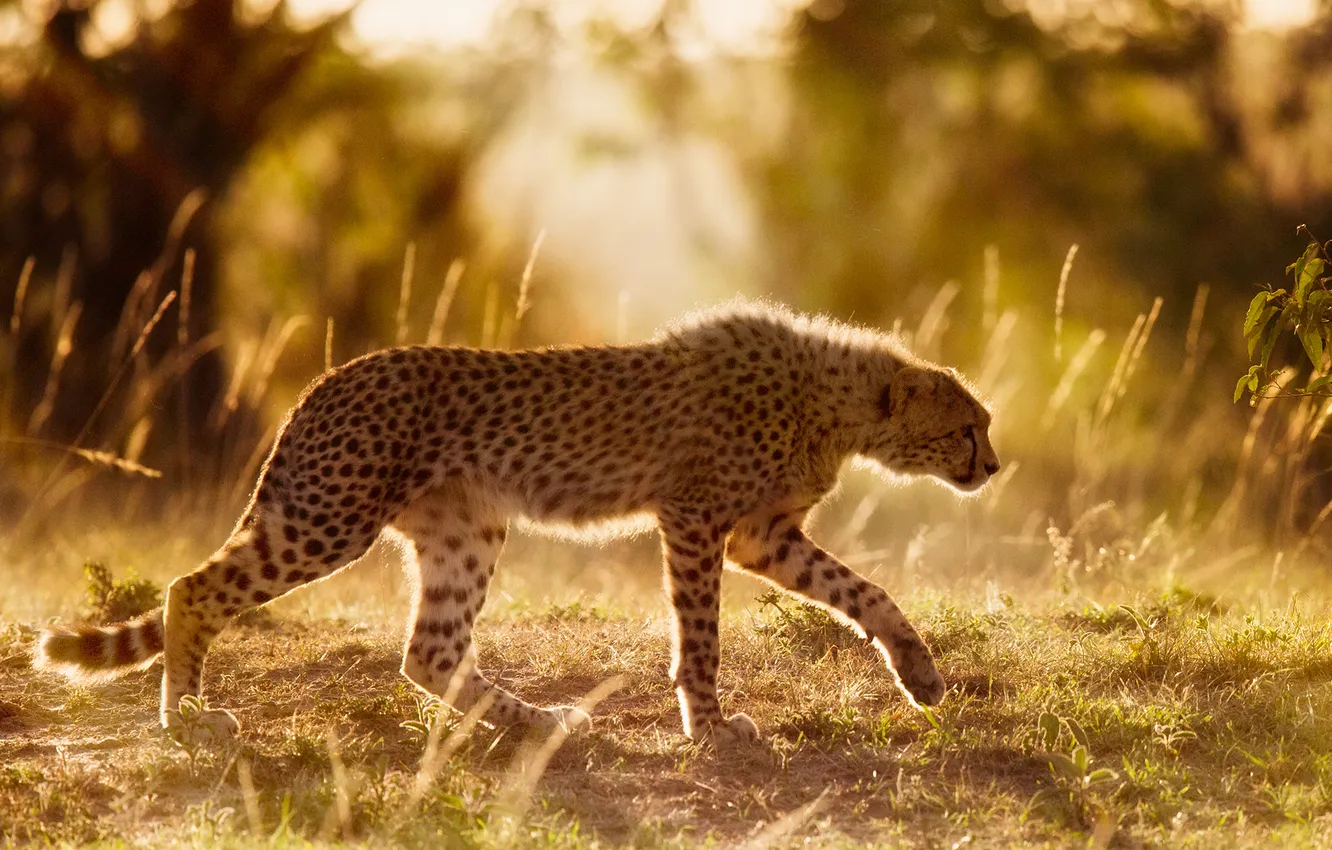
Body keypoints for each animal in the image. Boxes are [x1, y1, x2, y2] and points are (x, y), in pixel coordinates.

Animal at [35, 299, 999, 746]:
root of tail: (328, 377)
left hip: (465, 531)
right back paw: (188, 718)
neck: (839, 402)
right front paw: (709, 725)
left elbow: (864, 592)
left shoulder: (762, 536)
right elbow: (701, 637)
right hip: (329, 519)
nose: (993, 466)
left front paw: (919, 673)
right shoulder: (695, 520)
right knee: (191, 588)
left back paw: (538, 723)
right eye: (968, 427)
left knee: (428, 654)